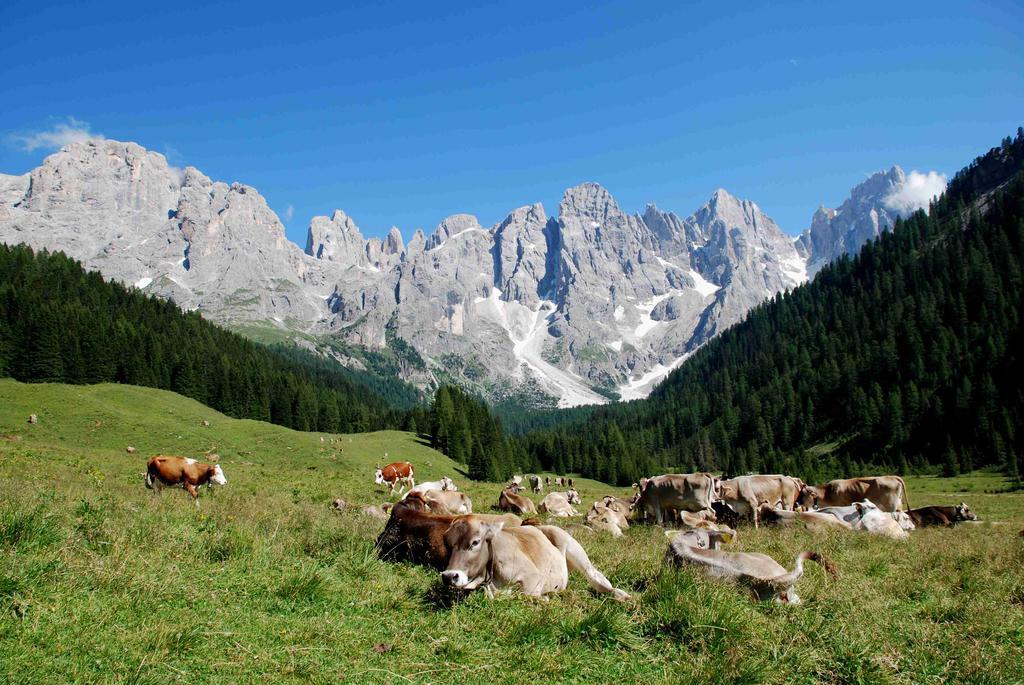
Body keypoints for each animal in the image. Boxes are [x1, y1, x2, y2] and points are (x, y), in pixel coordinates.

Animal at [438, 511, 626, 597]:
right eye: (447, 543)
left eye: (475, 542)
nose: (449, 576)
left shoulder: (533, 577)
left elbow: (526, 596)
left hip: (574, 549)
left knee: (595, 576)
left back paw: (621, 595)